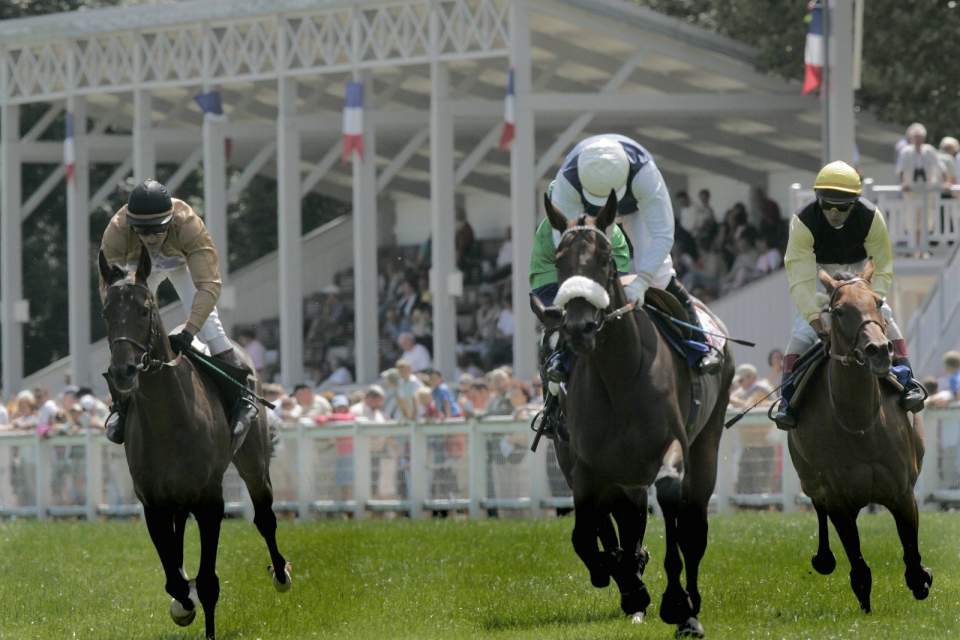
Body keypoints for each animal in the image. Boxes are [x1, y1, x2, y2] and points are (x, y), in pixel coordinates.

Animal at [100, 249, 292, 640]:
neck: (169, 418)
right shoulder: (154, 503)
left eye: (145, 309)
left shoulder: (209, 499)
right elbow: (174, 576)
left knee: (265, 517)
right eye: (105, 312)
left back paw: (281, 573)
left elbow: (208, 582)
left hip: (253, 461)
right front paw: (181, 604)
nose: (123, 371)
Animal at [532, 192, 736, 636]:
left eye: (606, 257)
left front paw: (675, 603)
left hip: (707, 442)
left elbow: (670, 503)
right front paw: (626, 582)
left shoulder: (670, 447)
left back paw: (691, 604)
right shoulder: (586, 465)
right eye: (558, 259)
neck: (620, 376)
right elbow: (586, 535)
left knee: (693, 525)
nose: (579, 327)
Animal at [788, 266, 928, 616]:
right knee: (817, 505)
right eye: (838, 311)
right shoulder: (838, 498)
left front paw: (921, 580)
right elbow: (857, 559)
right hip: (809, 477)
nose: (878, 349)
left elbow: (910, 548)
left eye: (877, 301)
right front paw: (864, 599)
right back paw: (823, 558)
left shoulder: (901, 490)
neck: (859, 423)